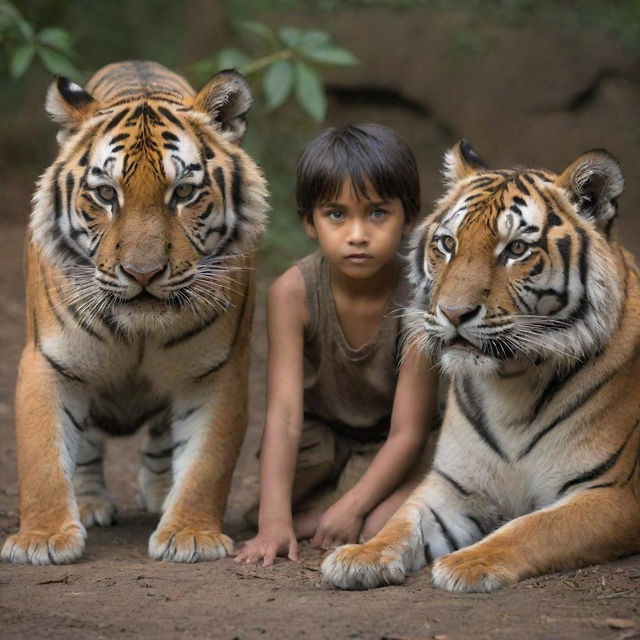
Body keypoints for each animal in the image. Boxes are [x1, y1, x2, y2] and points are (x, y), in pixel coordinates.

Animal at [0, 61, 268, 564]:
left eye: (184, 193)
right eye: (106, 194)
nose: (143, 273)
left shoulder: (216, 370)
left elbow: (208, 461)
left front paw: (190, 534)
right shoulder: (50, 360)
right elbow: (43, 455)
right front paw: (42, 539)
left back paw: (163, 494)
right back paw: (89, 503)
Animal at [322, 142, 640, 592]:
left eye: (517, 249)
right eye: (447, 243)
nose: (454, 313)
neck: (512, 382)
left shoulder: (613, 491)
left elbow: (533, 527)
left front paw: (467, 563)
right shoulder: (454, 485)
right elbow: (402, 520)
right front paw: (360, 556)